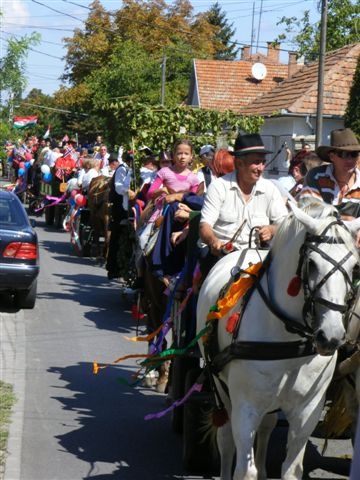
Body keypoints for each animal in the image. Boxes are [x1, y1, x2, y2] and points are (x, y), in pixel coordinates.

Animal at [197, 201, 360, 478]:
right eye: (311, 263)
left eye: (354, 267)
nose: (331, 336)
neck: (287, 337)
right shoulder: (246, 406)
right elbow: (245, 469)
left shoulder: (308, 409)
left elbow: (291, 469)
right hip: (220, 385)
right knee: (226, 438)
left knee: (267, 425)